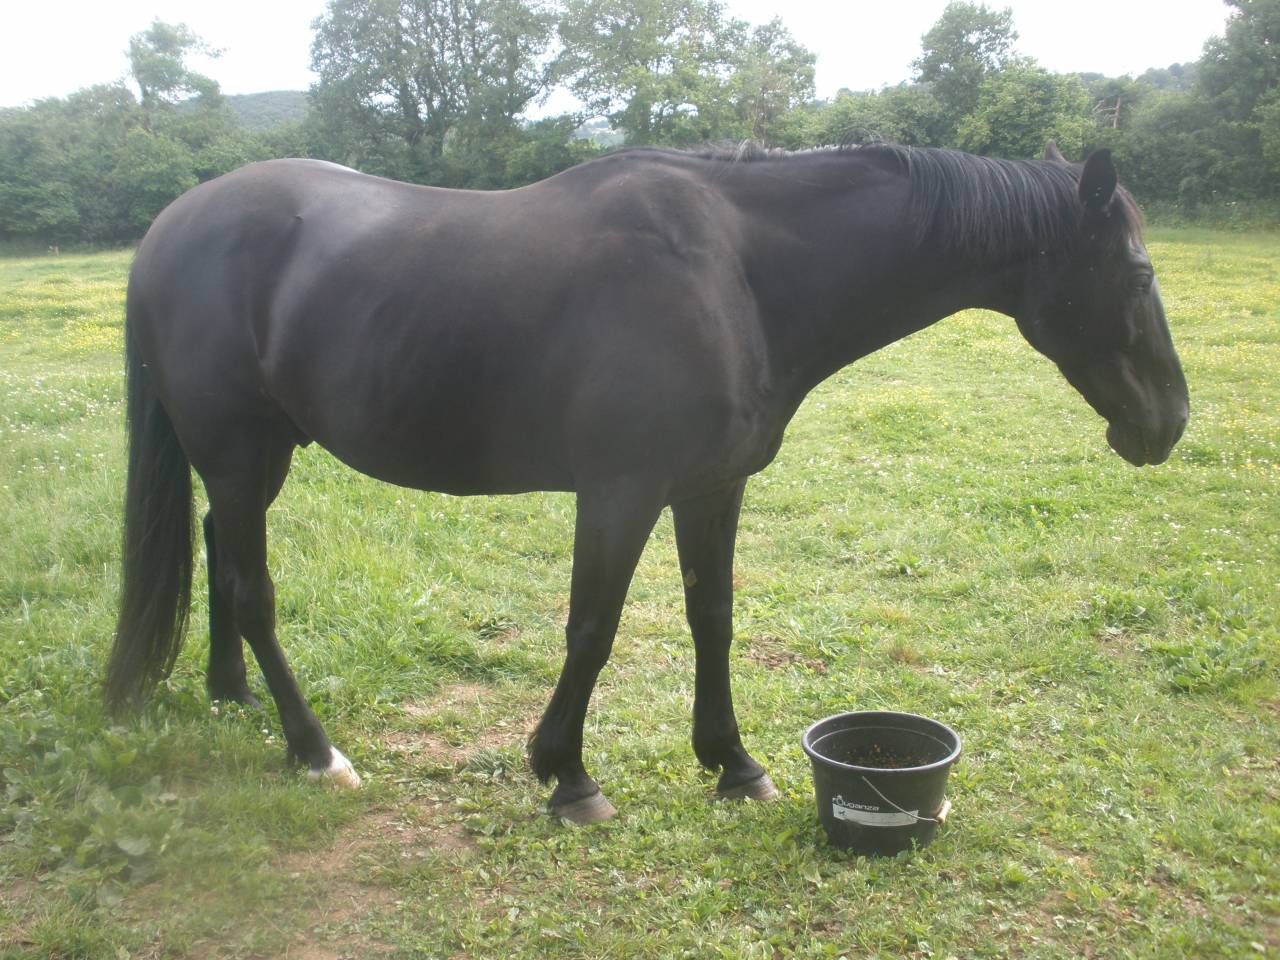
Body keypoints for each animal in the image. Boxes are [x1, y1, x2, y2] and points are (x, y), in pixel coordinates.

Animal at [106, 139, 1188, 823]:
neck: (735, 272)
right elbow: (593, 628)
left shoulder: (710, 486)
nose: (1167, 422)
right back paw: (313, 750)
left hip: (248, 463)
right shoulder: (621, 489)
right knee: (251, 589)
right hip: (242, 454)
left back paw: (231, 694)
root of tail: (166, 230)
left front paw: (734, 764)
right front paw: (566, 775)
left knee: (219, 554)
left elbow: (712, 615)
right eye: (1137, 276)